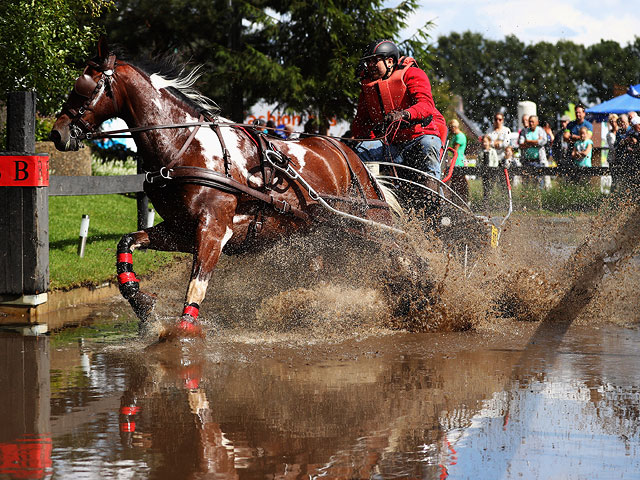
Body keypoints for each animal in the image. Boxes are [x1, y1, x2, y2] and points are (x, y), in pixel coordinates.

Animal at [51, 38, 400, 342]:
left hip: (371, 224)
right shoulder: (181, 230)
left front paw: (183, 335)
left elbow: (196, 286)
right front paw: (143, 304)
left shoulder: (214, 229)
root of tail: (350, 154)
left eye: (83, 87)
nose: (57, 133)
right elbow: (126, 244)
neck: (185, 146)